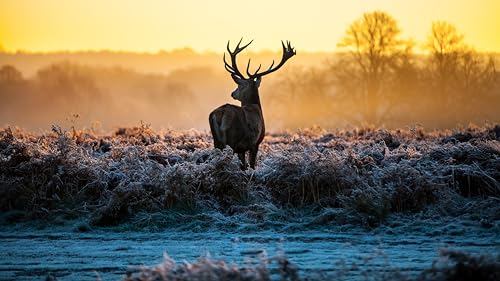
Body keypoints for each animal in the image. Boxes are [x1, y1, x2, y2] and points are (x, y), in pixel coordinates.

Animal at [209, 39, 294, 168]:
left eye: (239, 86)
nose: (233, 93)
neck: (255, 106)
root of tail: (220, 114)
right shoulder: (255, 143)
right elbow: (251, 165)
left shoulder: (242, 148)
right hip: (232, 140)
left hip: (217, 142)